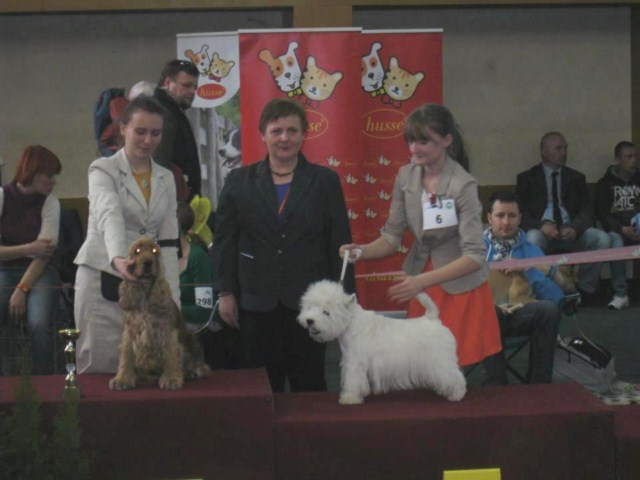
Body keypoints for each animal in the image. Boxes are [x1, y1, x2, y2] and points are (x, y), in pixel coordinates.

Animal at [109, 237, 211, 390]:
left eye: (154, 251)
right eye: (137, 251)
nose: (147, 263)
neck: (145, 294)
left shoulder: (167, 332)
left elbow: (171, 355)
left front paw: (171, 379)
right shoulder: (130, 332)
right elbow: (126, 356)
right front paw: (122, 379)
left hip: (190, 339)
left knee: (200, 363)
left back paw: (192, 372)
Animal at [298, 280, 466, 405]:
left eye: (326, 312)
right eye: (310, 307)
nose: (309, 320)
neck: (351, 324)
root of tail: (433, 319)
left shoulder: (354, 363)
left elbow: (352, 381)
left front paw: (349, 398)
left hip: (441, 360)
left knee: (454, 376)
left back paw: (457, 395)